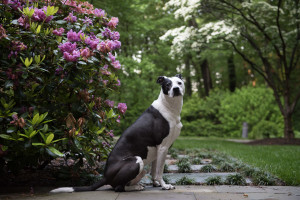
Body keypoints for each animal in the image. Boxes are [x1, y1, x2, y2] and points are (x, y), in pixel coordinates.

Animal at [50, 74, 184, 193]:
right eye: (167, 84)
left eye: (179, 83)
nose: (176, 89)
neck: (169, 107)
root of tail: (105, 177)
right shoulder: (163, 147)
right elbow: (159, 171)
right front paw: (165, 186)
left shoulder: (158, 149)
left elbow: (154, 170)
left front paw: (156, 184)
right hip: (136, 161)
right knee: (119, 188)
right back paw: (136, 187)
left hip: (141, 169)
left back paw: (136, 186)